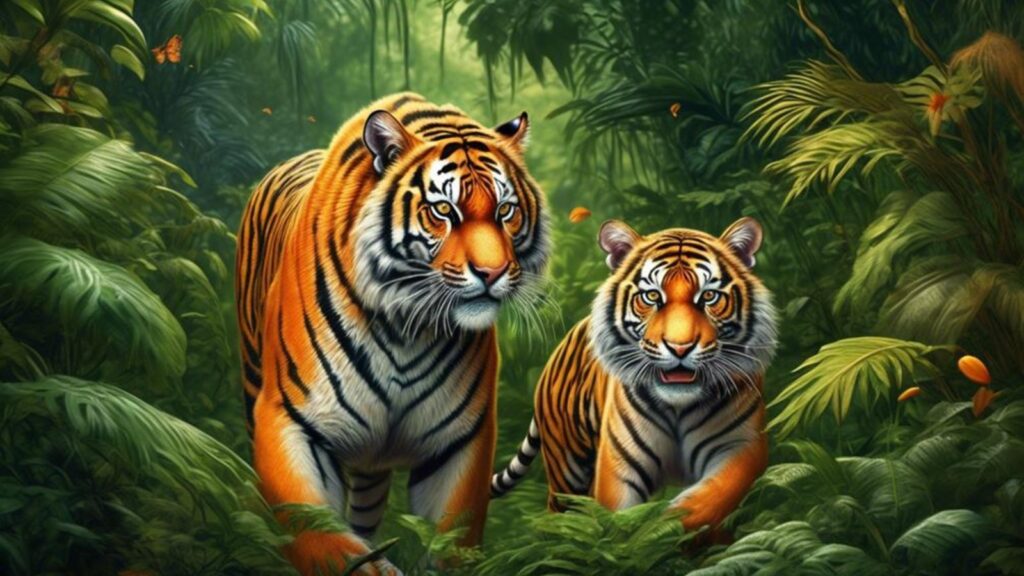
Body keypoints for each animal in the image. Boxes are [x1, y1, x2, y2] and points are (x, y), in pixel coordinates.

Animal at [235, 93, 549, 575]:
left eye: (505, 211)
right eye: (444, 210)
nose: (492, 273)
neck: (406, 327)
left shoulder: (459, 443)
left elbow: (452, 541)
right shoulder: (289, 419)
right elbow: (317, 536)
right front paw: (368, 565)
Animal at [491, 217, 777, 534]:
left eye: (709, 296)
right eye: (652, 296)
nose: (680, 347)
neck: (678, 407)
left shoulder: (741, 447)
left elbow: (707, 501)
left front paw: (670, 525)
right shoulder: (619, 465)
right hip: (567, 467)